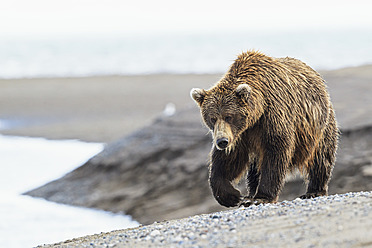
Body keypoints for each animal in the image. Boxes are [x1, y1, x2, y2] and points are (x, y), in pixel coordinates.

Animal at [190, 50, 338, 207]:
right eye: (212, 118)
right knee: (255, 168)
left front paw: (262, 197)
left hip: (320, 125)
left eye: (229, 116)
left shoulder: (272, 116)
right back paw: (250, 194)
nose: (222, 141)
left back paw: (314, 191)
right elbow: (227, 159)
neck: (257, 113)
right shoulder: (241, 134)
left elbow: (276, 151)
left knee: (321, 156)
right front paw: (232, 196)